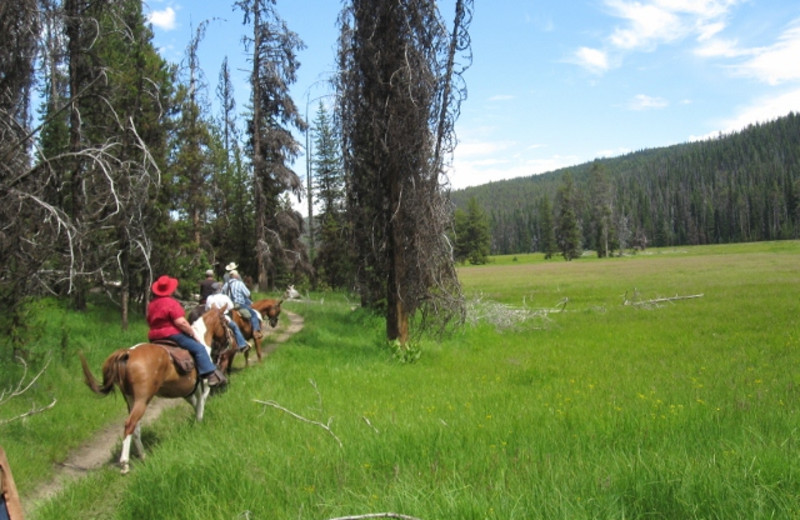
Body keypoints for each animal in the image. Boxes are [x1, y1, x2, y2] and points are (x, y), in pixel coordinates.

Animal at [79, 308, 228, 476]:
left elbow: (195, 404)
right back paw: (125, 464)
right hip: (142, 399)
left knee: (136, 428)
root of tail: (128, 353)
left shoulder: (187, 393)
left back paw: (143, 456)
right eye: (225, 321)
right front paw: (199, 423)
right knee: (130, 424)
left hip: (130, 399)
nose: (227, 341)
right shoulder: (204, 387)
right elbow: (201, 405)